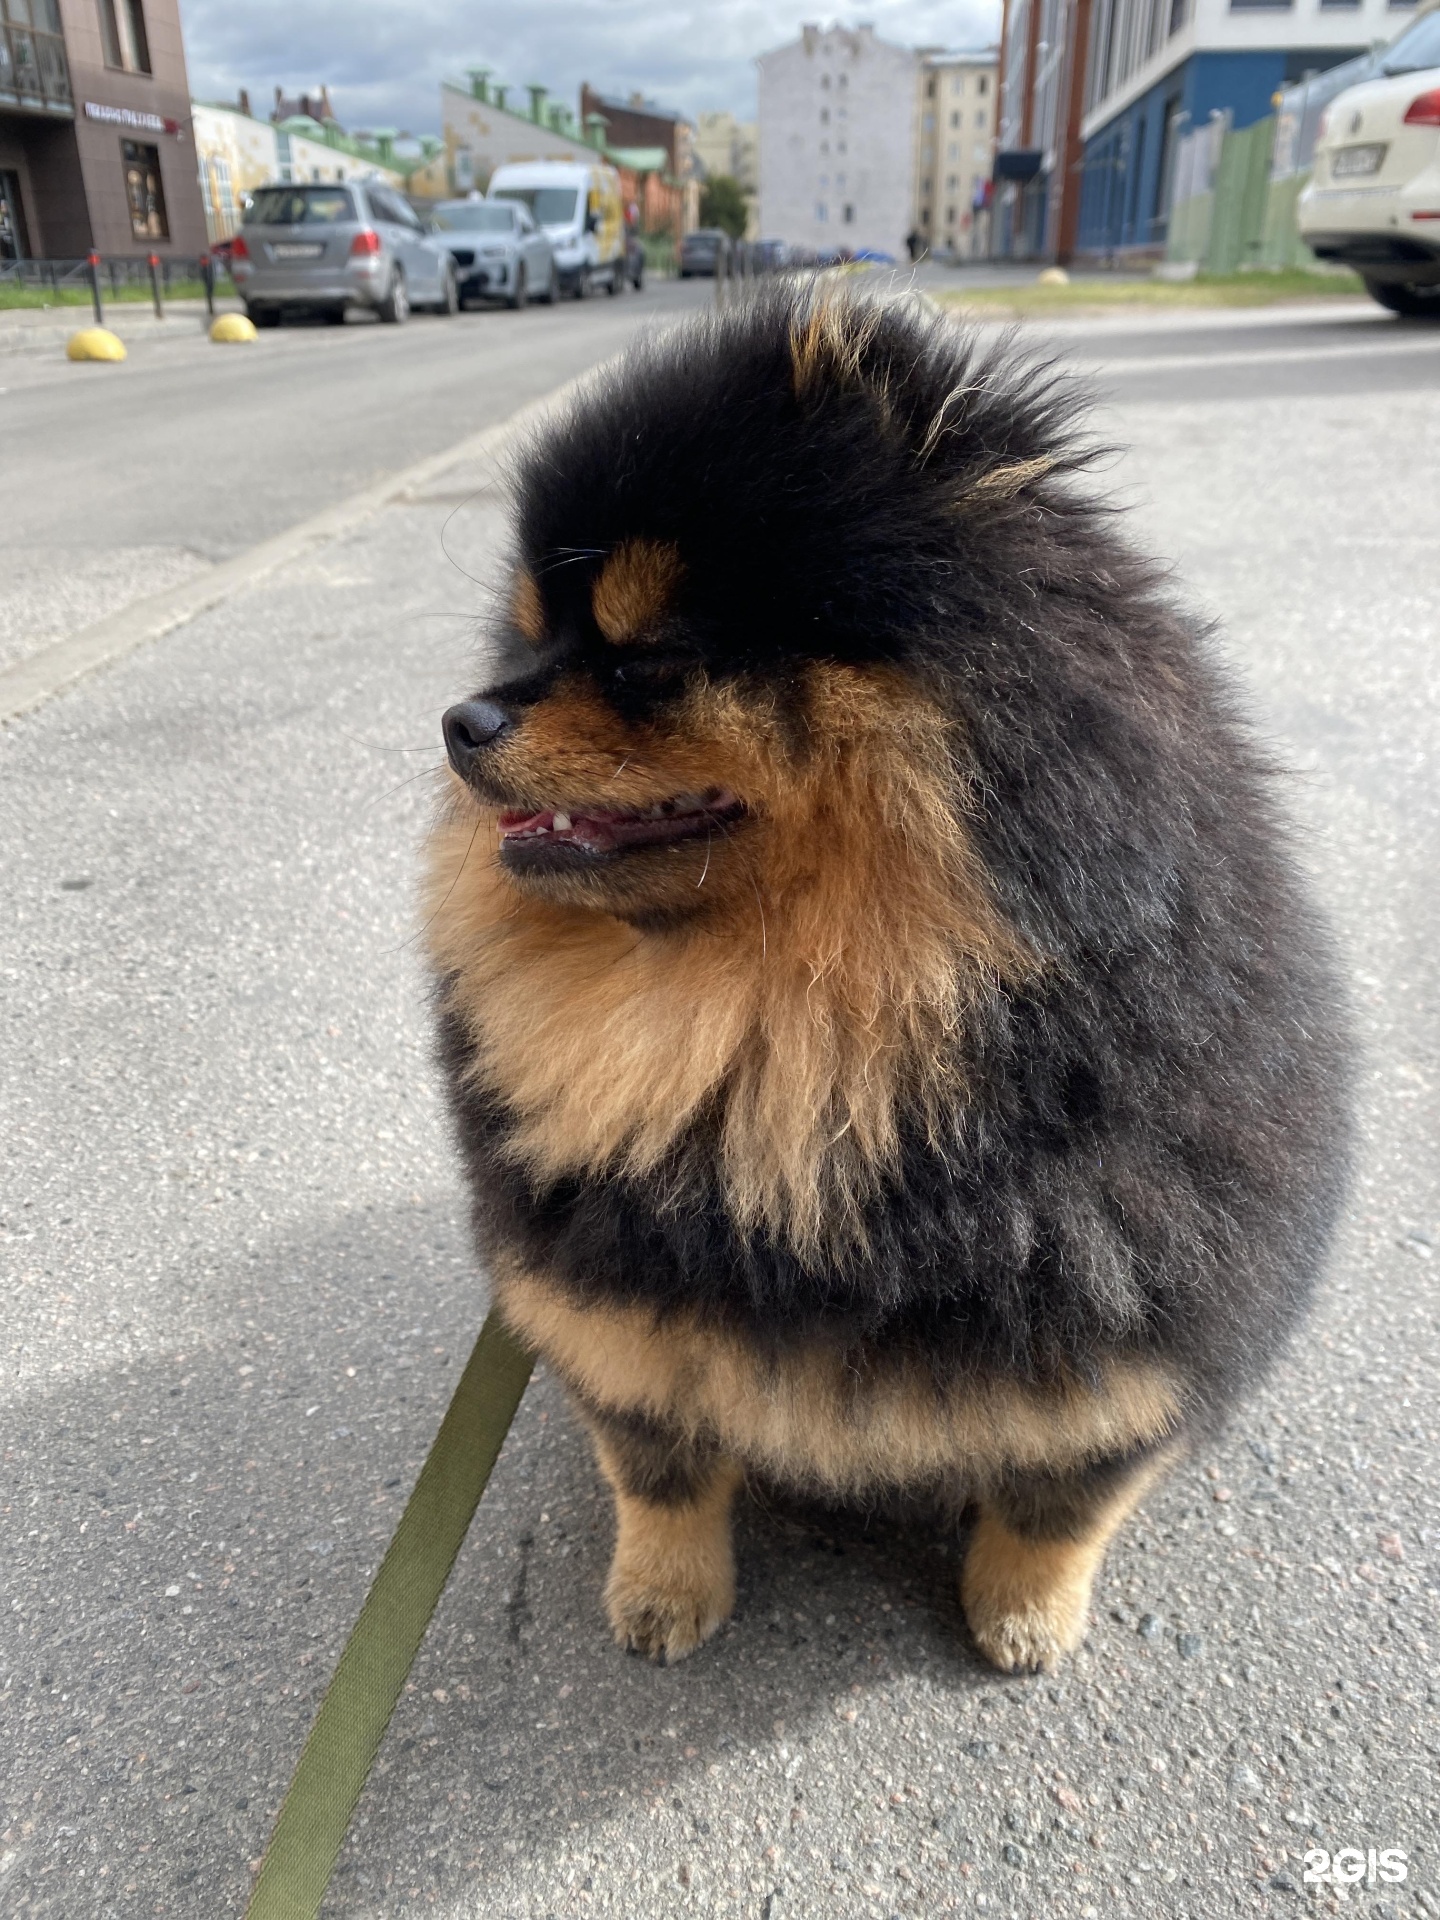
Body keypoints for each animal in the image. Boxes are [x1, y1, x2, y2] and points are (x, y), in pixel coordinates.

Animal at [426, 288, 1351, 1681]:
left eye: (649, 659)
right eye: (531, 636)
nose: (463, 720)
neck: (784, 1030)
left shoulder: (1136, 1321)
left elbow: (1061, 1495)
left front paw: (1024, 1615)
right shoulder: (609, 1308)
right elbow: (660, 1469)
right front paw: (662, 1595)